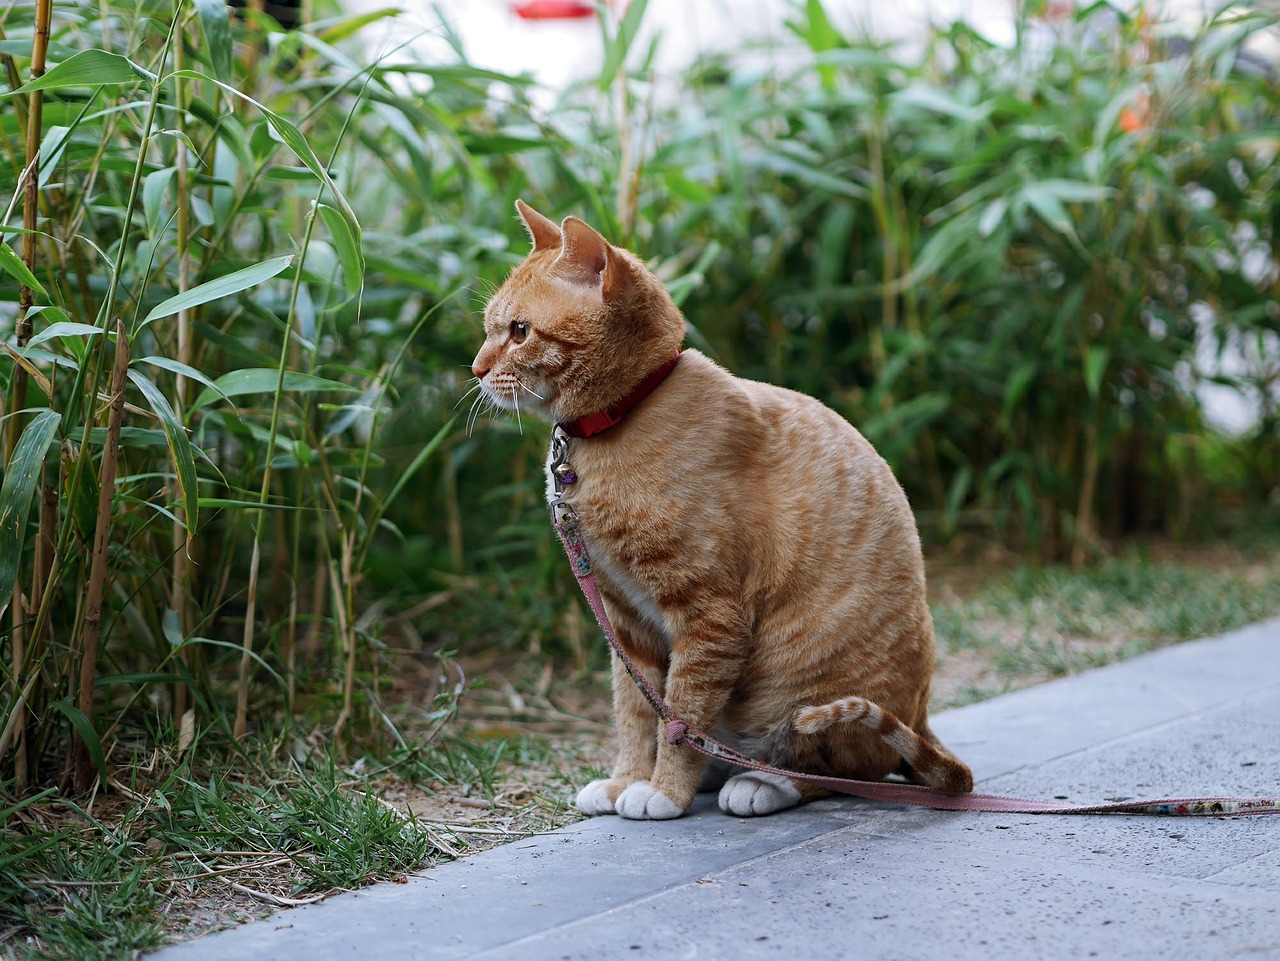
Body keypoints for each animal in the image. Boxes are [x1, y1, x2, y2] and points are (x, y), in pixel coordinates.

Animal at [471, 197, 967, 818]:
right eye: (490, 329)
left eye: (519, 331)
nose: (475, 369)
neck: (615, 423)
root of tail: (921, 719)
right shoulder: (625, 621)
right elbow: (636, 712)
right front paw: (624, 779)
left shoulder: (708, 616)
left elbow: (681, 716)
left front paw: (663, 790)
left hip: (800, 700)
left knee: (840, 771)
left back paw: (760, 784)